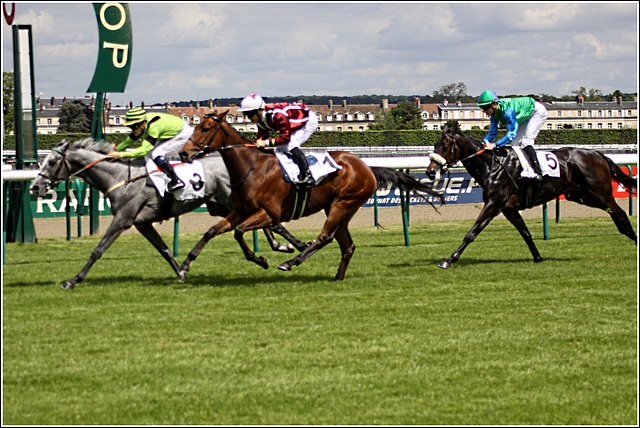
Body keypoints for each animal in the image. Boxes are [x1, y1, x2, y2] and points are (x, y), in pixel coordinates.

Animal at [30, 139, 310, 290]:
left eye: (52, 162)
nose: (35, 187)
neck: (120, 177)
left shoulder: (123, 219)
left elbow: (98, 250)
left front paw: (73, 280)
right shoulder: (142, 223)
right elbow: (164, 250)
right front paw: (181, 272)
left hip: (228, 201)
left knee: (271, 222)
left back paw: (289, 246)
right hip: (220, 205)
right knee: (267, 223)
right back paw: (285, 246)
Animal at [176, 112, 444, 282]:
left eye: (205, 129)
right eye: (195, 127)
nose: (184, 153)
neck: (253, 168)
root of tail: (367, 167)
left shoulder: (269, 213)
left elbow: (240, 232)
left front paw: (261, 259)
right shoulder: (240, 211)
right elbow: (211, 231)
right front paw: (184, 267)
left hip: (342, 203)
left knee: (325, 237)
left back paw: (291, 262)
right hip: (340, 208)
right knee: (347, 245)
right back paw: (337, 278)